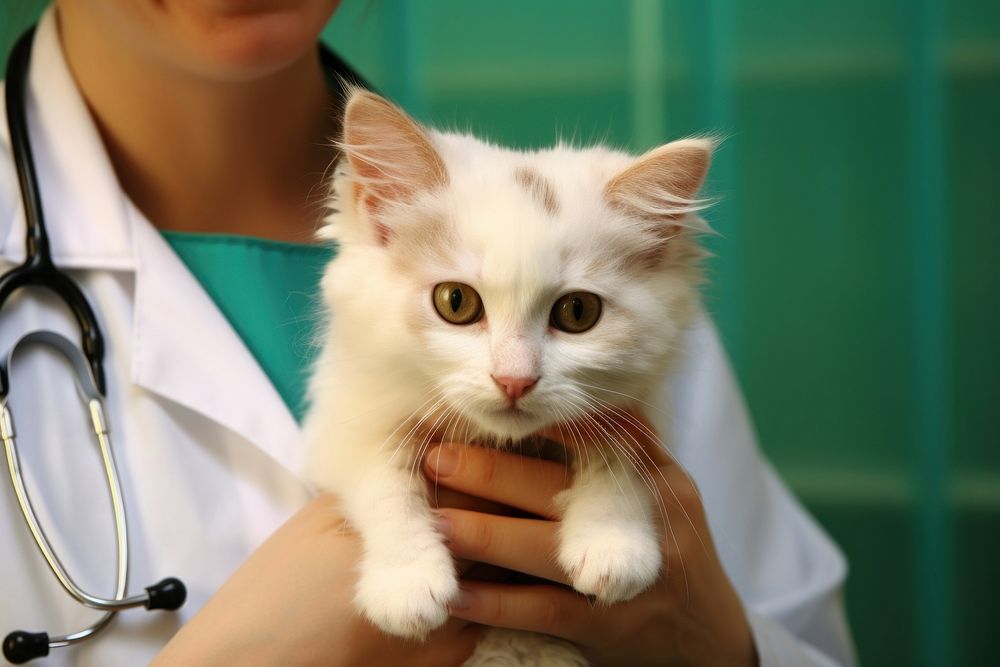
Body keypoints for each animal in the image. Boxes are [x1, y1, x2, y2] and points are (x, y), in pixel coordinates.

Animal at [304, 90, 712, 667]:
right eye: (455, 302)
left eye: (578, 312)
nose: (514, 380)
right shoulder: (341, 426)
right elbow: (383, 479)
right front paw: (406, 583)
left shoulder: (642, 410)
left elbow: (617, 451)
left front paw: (613, 541)